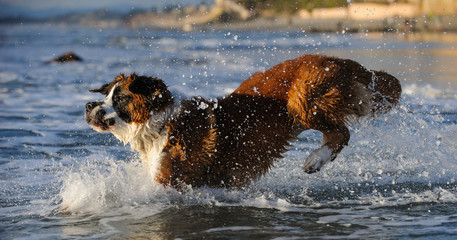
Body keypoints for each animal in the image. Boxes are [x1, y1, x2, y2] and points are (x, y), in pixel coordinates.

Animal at [84, 55, 400, 188]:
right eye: (106, 94)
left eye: (119, 98)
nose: (88, 106)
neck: (159, 124)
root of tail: (343, 61)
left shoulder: (170, 179)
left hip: (303, 99)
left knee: (342, 134)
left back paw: (315, 159)